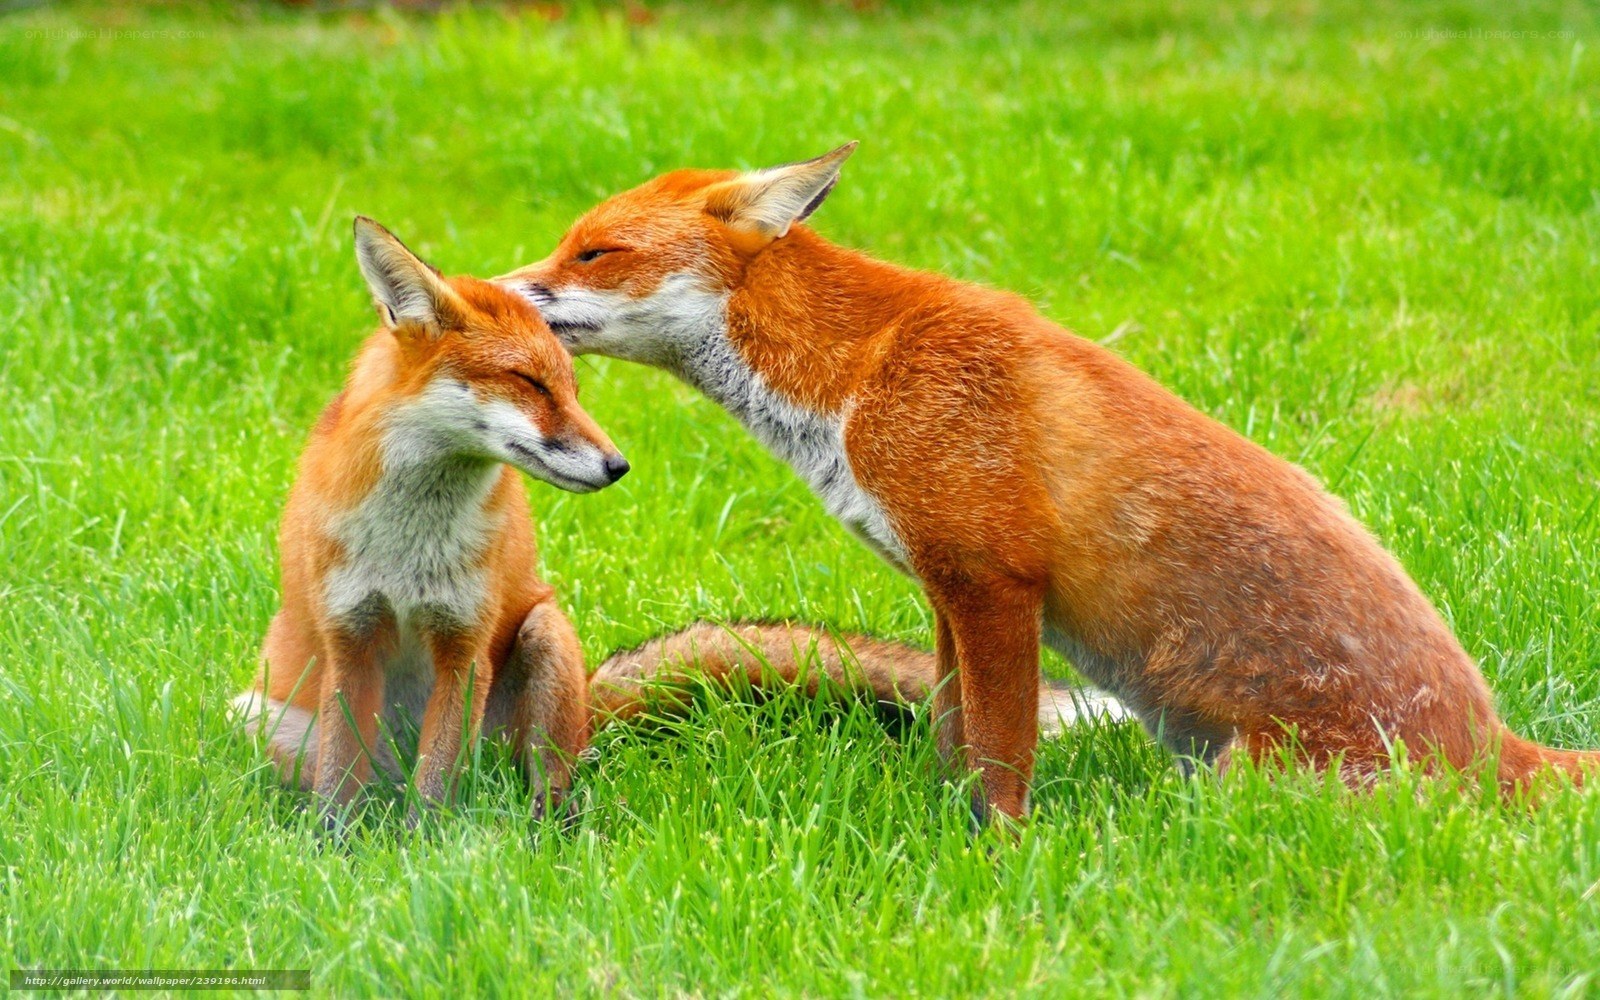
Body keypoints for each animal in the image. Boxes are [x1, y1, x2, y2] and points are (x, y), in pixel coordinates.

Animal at [232, 216, 1122, 826]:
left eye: (573, 387)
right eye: (529, 382)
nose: (617, 466)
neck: (411, 539)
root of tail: (590, 707)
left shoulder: (464, 641)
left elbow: (433, 787)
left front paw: (421, 853)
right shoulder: (351, 634)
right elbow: (341, 788)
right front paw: (344, 859)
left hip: (543, 640)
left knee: (539, 784)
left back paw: (542, 832)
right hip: (261, 715)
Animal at [497, 142, 1598, 821]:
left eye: (593, 250)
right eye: (567, 243)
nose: (487, 293)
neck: (854, 377)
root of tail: (1498, 748)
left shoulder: (996, 582)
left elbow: (1003, 757)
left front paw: (998, 854)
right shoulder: (945, 588)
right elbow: (952, 737)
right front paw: (940, 827)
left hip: (1239, 784)